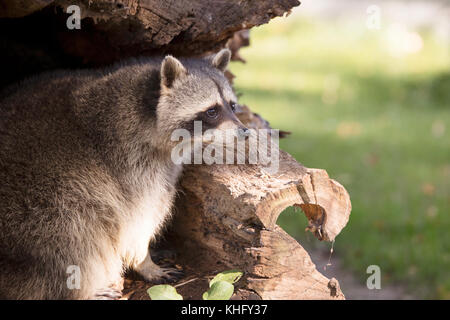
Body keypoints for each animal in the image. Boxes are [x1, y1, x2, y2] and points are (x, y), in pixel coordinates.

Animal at [0, 48, 246, 298]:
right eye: (212, 111)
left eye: (232, 106)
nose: (244, 132)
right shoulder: (129, 164)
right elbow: (136, 219)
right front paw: (143, 261)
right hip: (42, 205)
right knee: (73, 235)